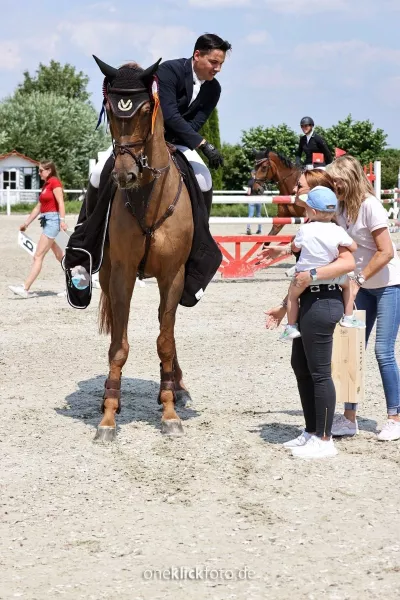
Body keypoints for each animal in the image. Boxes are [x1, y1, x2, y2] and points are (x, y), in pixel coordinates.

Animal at [94, 56, 194, 440]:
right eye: (109, 109)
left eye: (146, 109)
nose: (124, 176)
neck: (148, 199)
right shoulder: (121, 275)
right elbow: (118, 346)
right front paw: (108, 415)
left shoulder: (173, 276)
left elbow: (165, 341)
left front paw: (169, 411)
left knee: (169, 331)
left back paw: (178, 388)